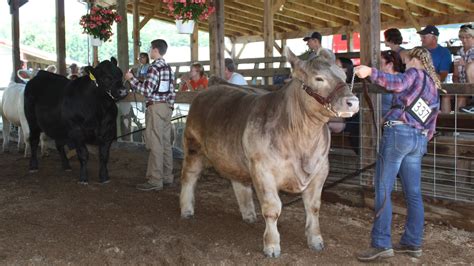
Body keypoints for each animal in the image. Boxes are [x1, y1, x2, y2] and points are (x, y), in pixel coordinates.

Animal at [180, 48, 358, 258]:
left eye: (344, 76)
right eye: (319, 78)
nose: (352, 102)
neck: (302, 138)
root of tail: (212, 86)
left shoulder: (321, 170)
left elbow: (313, 207)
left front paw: (315, 240)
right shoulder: (262, 169)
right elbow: (272, 208)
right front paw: (272, 245)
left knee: (238, 181)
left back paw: (248, 214)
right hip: (193, 147)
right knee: (189, 176)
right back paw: (186, 209)